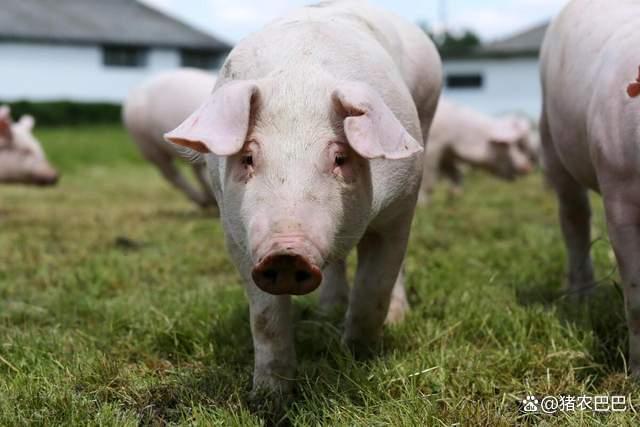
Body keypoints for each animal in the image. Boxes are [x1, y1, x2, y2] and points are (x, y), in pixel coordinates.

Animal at [165, 0, 440, 396]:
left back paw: (394, 319)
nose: (286, 253)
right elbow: (264, 317)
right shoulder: (236, 233)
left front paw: (355, 358)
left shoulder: (399, 208)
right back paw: (328, 311)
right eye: (248, 158)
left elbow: (374, 287)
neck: (300, 82)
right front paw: (268, 397)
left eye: (340, 157)